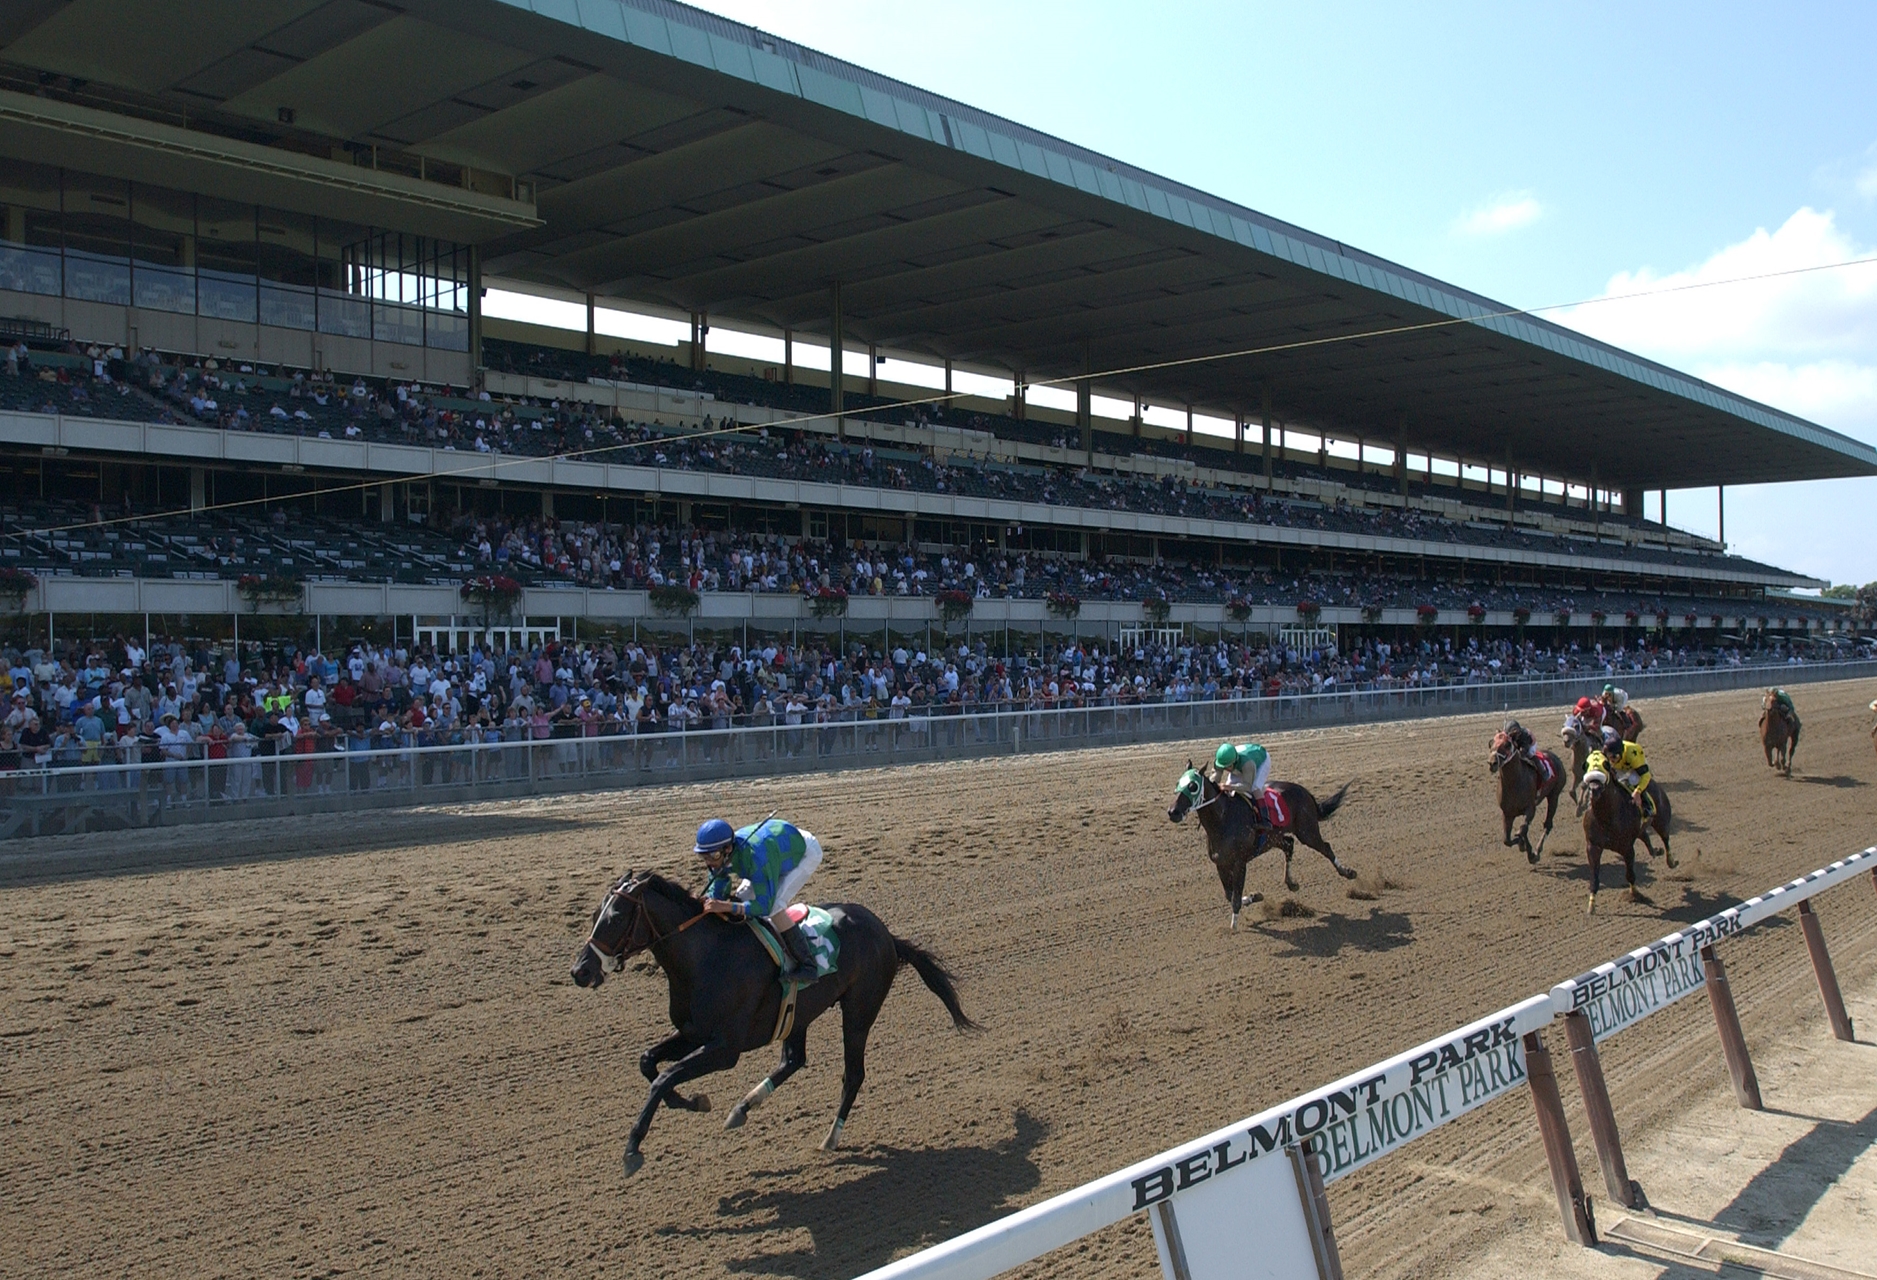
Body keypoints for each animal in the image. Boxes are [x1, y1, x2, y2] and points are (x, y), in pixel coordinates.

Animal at [1163, 758, 1358, 927]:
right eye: (1178, 783)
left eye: (1193, 786)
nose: (1173, 812)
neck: (1222, 820)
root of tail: (1304, 791)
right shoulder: (1221, 863)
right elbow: (1229, 894)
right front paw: (1254, 897)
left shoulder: (1239, 862)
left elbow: (1235, 898)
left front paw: (1233, 927)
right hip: (1274, 838)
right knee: (1289, 844)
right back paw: (1291, 883)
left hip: (1307, 831)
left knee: (1325, 847)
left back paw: (1348, 872)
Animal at [1486, 724, 1561, 863]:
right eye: (1491, 743)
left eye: (1507, 744)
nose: (1492, 763)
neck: (1514, 782)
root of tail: (1555, 757)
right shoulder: (1507, 813)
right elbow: (1507, 840)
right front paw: (1524, 847)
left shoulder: (1530, 808)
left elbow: (1523, 829)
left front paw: (1528, 849)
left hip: (1554, 796)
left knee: (1548, 824)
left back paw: (1537, 851)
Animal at [1576, 761, 1681, 912]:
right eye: (1587, 765)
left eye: (1604, 765)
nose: (1594, 789)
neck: (1606, 817)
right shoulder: (1593, 846)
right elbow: (1594, 878)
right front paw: (1591, 906)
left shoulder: (1627, 848)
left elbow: (1630, 875)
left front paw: (1635, 895)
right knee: (1644, 835)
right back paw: (1655, 851)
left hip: (1661, 819)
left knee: (1665, 838)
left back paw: (1671, 861)